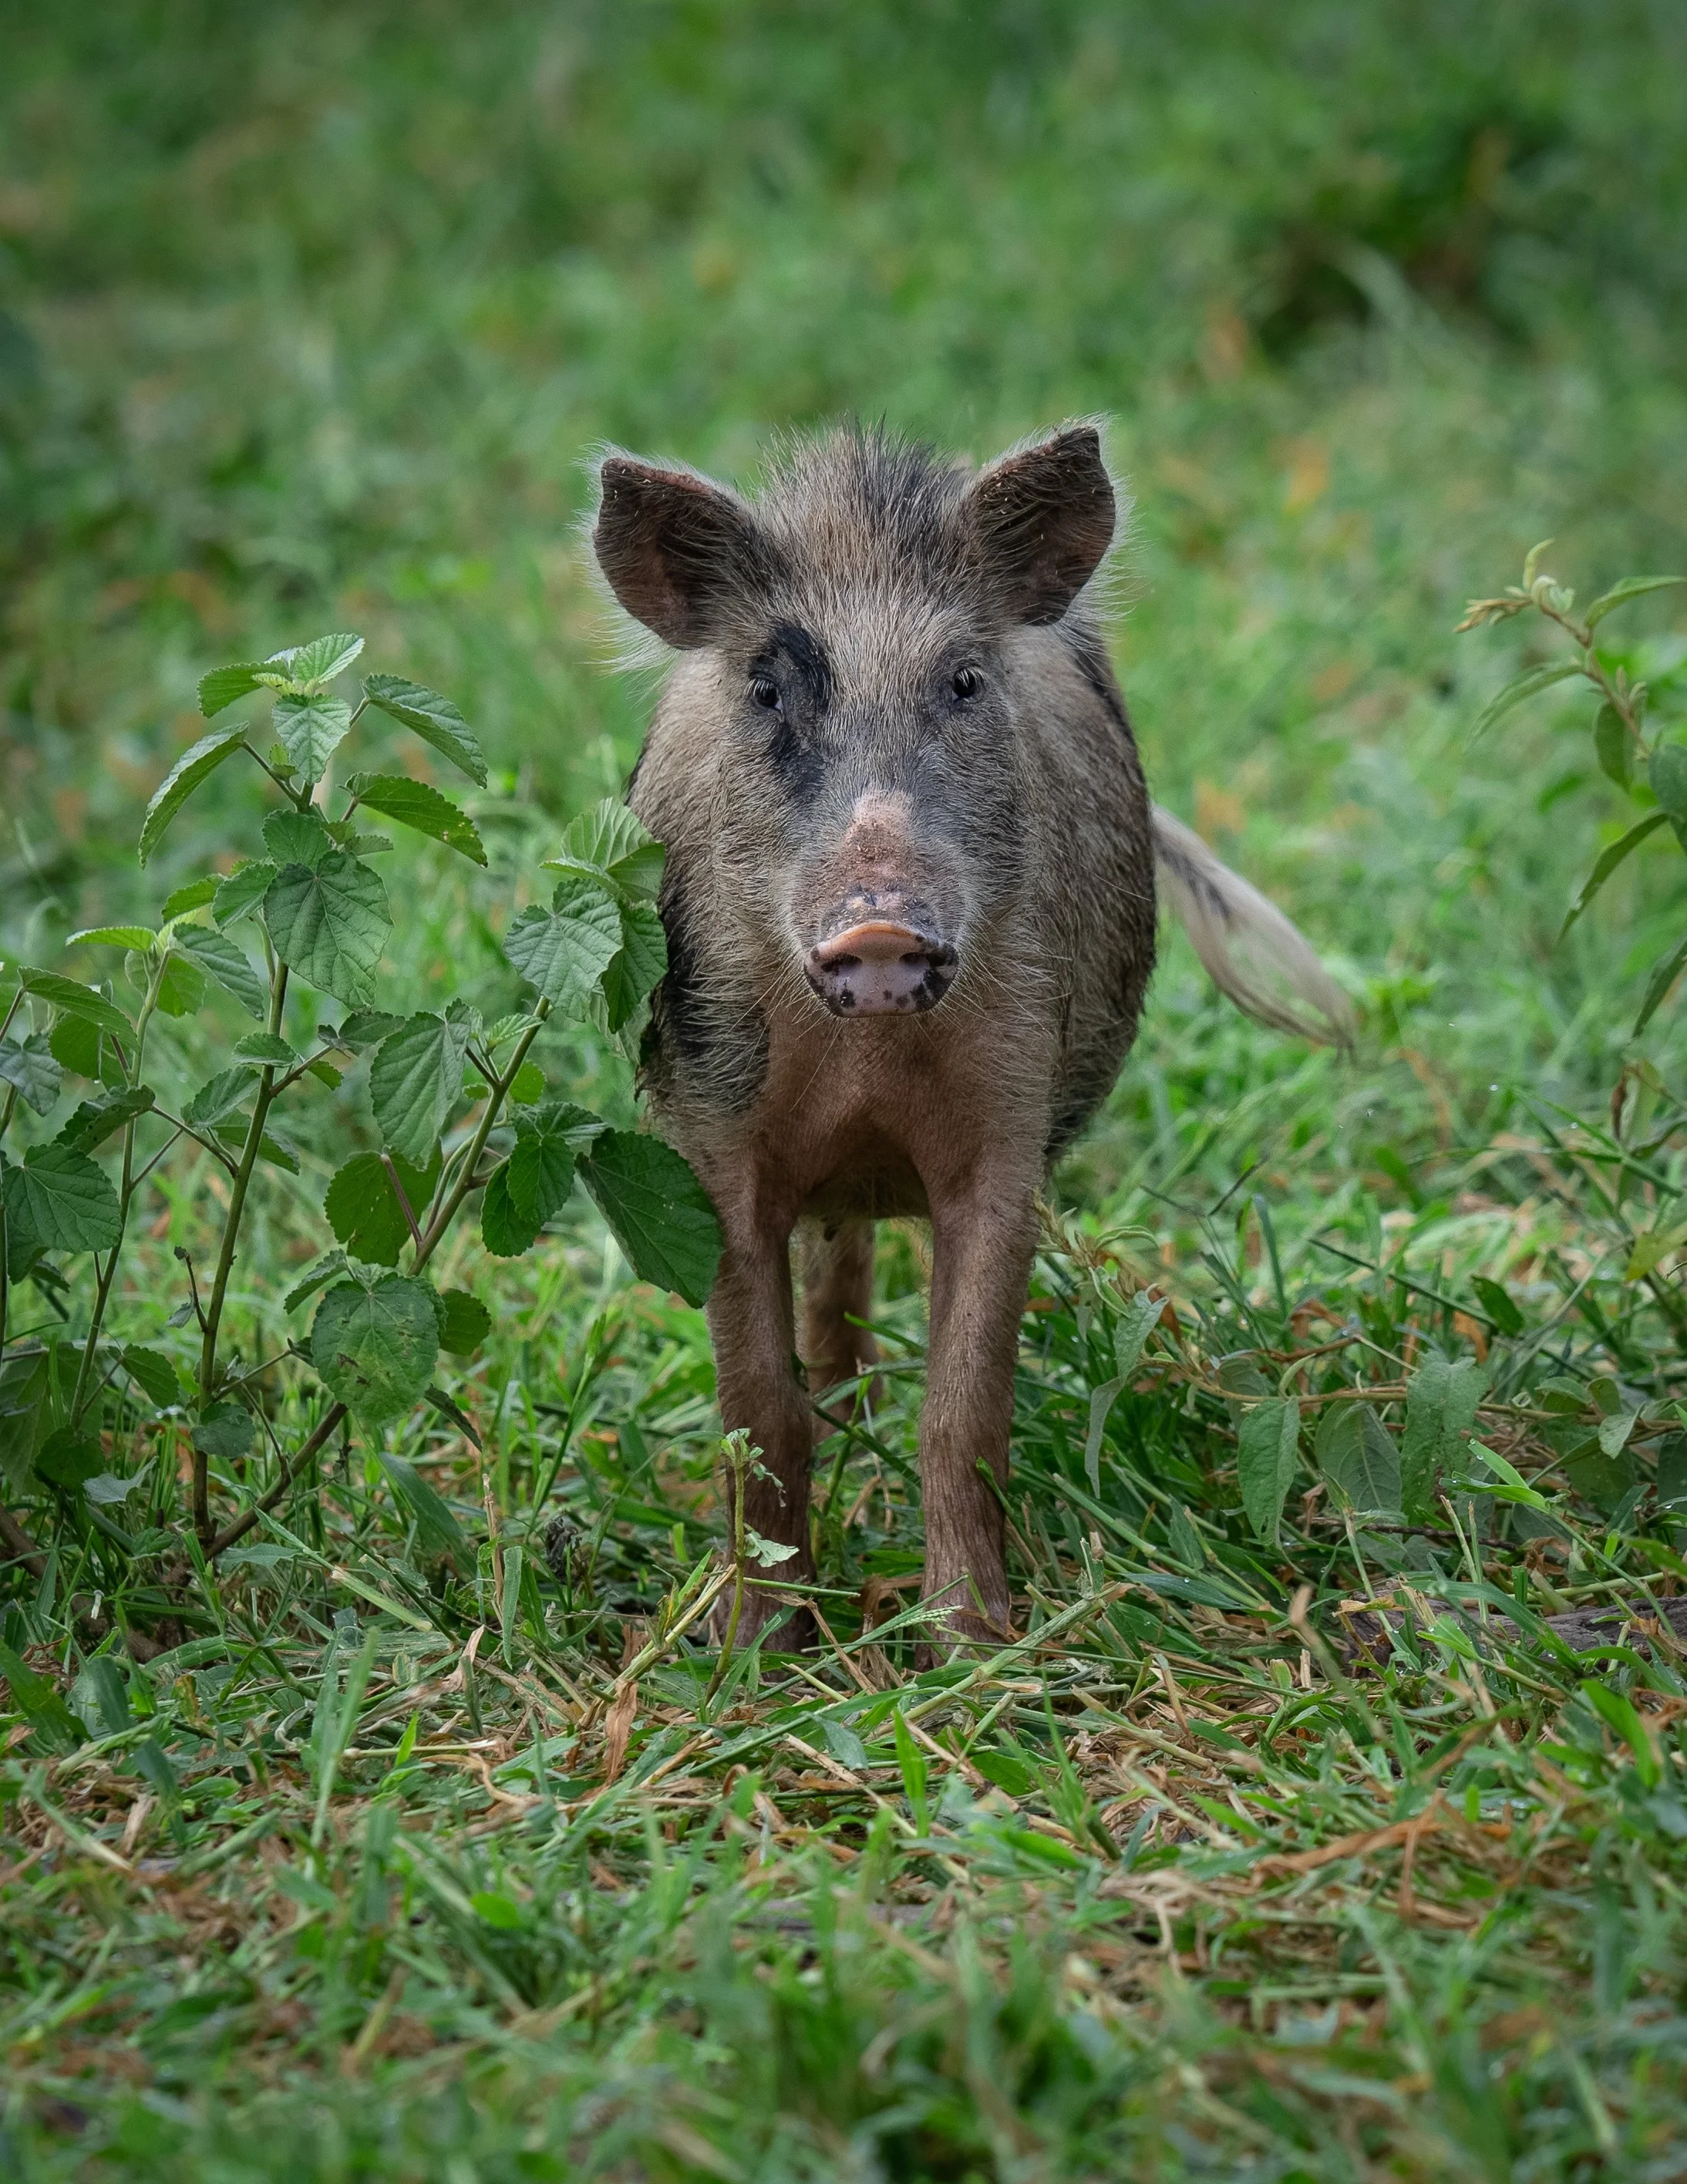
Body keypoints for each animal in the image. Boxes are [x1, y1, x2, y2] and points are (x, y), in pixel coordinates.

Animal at [591, 423, 1351, 1646]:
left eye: (963, 680)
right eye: (766, 686)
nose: (881, 926)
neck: (866, 1073)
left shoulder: (1009, 1124)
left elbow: (964, 1409)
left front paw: (971, 1648)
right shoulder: (712, 1128)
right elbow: (757, 1411)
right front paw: (755, 1650)